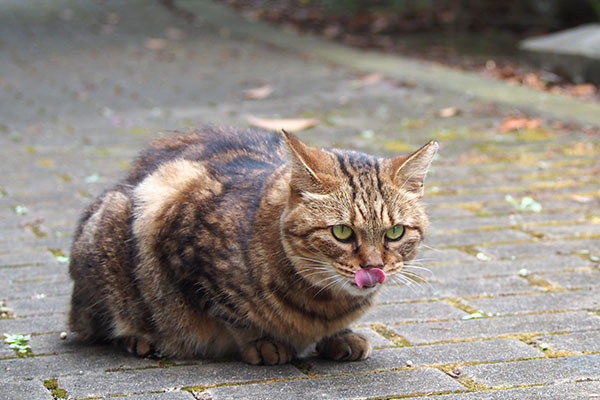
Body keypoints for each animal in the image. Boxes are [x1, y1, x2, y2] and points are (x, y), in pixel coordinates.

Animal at [68, 126, 438, 364]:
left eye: (395, 232)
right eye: (342, 233)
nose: (374, 266)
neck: (324, 305)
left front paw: (340, 336)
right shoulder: (179, 233)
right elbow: (232, 313)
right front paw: (262, 342)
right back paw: (139, 338)